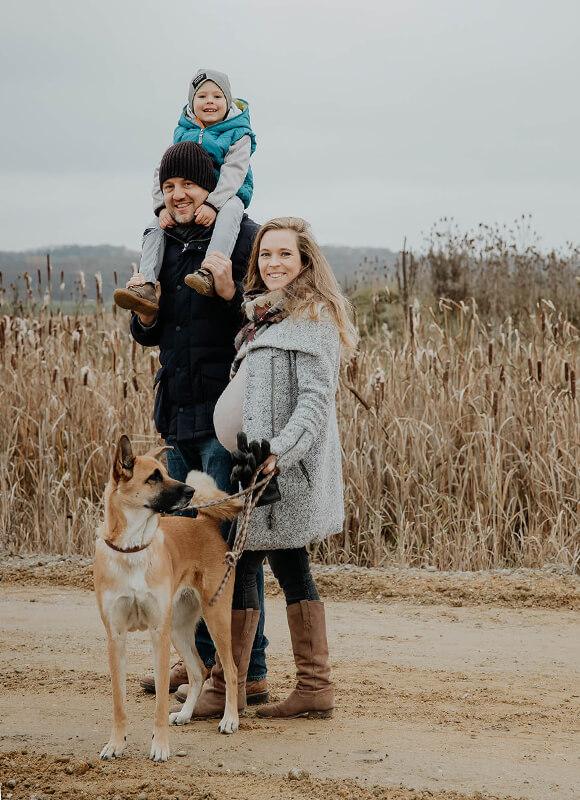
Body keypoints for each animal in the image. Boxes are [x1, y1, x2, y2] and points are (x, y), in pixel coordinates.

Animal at [93, 434, 242, 760]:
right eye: (153, 477)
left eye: (166, 472)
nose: (190, 491)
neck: (133, 549)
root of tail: (204, 522)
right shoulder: (116, 637)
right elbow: (118, 702)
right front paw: (115, 743)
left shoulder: (157, 634)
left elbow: (161, 701)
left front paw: (159, 746)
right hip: (178, 628)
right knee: (198, 671)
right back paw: (186, 714)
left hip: (215, 619)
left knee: (232, 669)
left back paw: (230, 719)